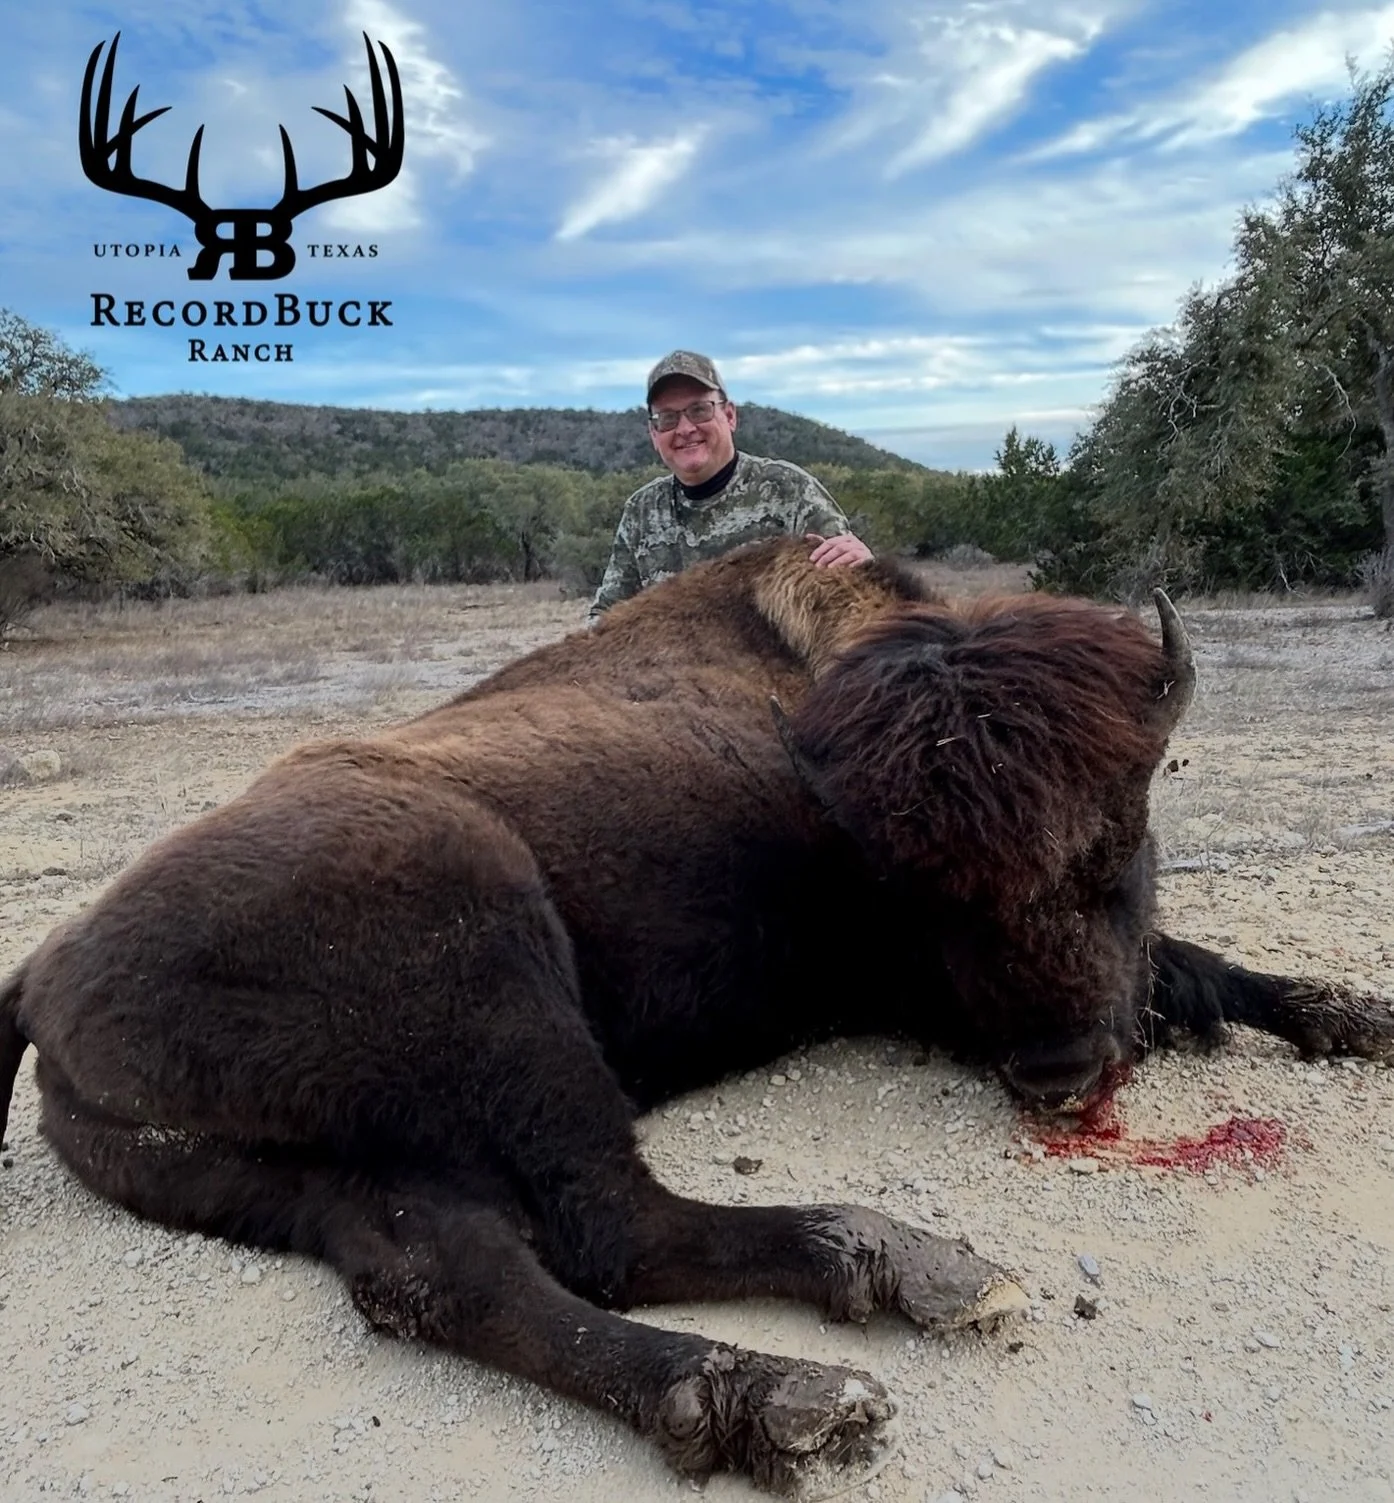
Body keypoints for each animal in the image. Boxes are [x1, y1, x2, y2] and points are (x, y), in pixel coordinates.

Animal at [2, 539, 1389, 1494]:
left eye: (1115, 846)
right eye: (924, 899)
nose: (1058, 1076)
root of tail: (42, 972)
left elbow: (1193, 965)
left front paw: (1350, 1014)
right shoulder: (895, 982)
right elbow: (1175, 964)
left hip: (312, 1173)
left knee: (445, 1279)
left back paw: (758, 1387)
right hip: (505, 975)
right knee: (613, 1224)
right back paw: (874, 1305)